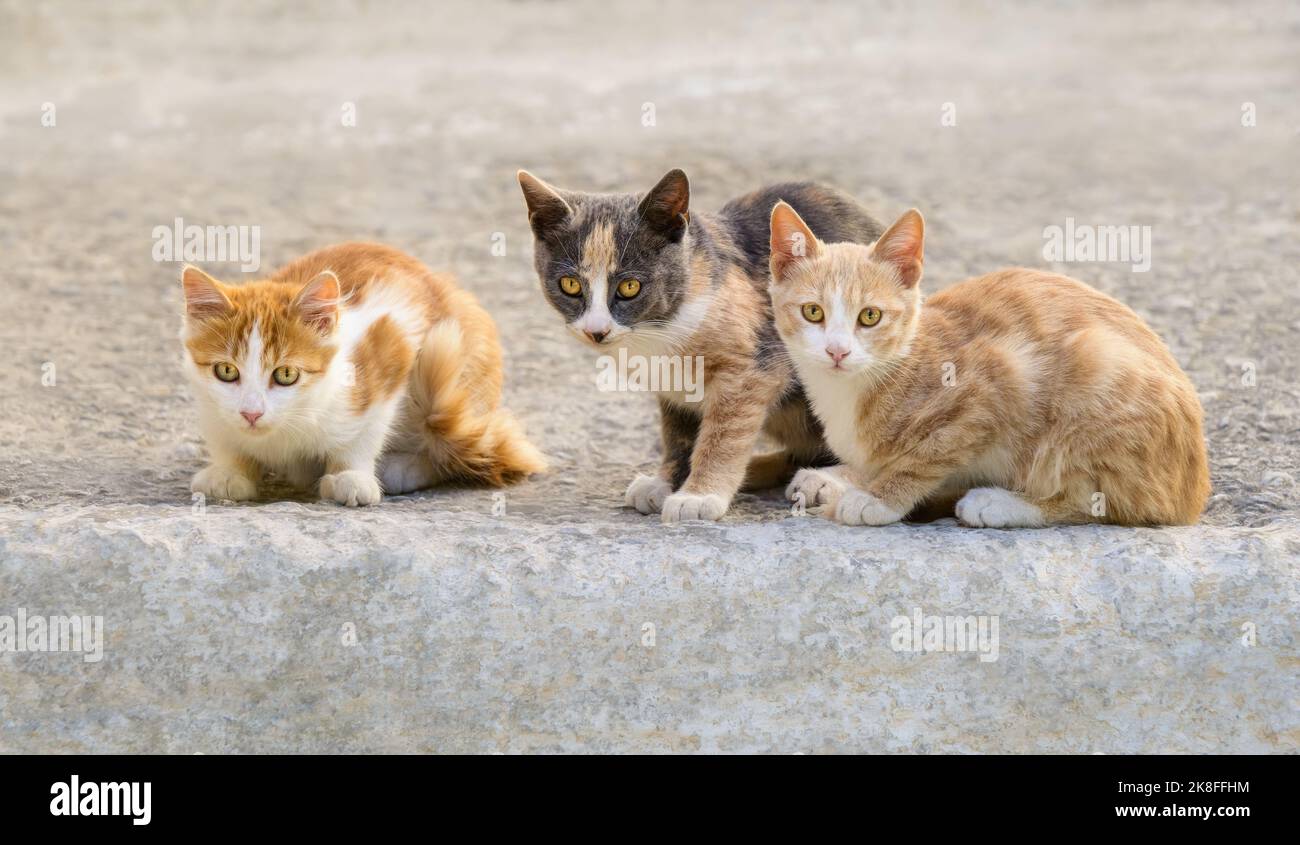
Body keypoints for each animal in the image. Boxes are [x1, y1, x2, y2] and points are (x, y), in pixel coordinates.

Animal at [182, 243, 543, 506]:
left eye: (286, 374)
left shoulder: (392, 342)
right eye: (226, 371)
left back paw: (401, 468)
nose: (252, 413)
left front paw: (351, 476)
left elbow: (364, 431)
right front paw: (229, 472)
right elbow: (224, 437)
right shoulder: (210, 407)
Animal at [517, 167, 883, 520]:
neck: (660, 328)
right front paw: (667, 481)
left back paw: (822, 480)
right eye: (570, 285)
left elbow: (724, 434)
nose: (597, 330)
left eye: (630, 287)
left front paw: (699, 494)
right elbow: (677, 432)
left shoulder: (754, 366)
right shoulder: (672, 385)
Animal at [764, 200, 1211, 522]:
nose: (837, 351)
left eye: (870, 316)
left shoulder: (997, 383)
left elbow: (927, 454)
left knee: (1103, 500)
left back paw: (1001, 504)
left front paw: (880, 497)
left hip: (1098, 366)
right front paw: (842, 475)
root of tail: (1195, 490)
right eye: (813, 312)